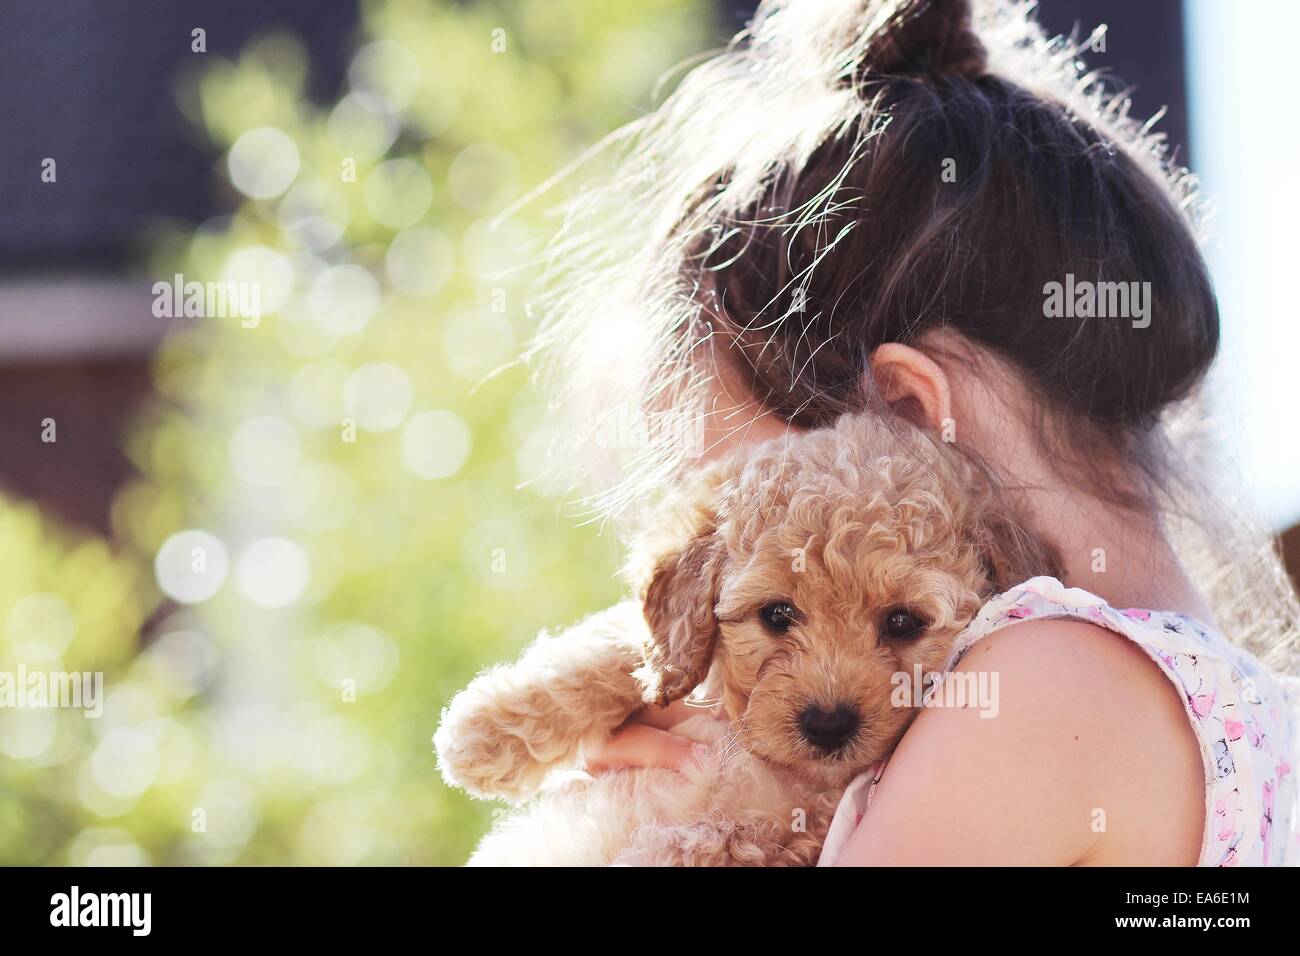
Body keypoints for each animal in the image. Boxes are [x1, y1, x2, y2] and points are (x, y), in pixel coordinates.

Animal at [436, 413, 1055, 868]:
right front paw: (482, 730)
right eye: (776, 615)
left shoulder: (787, 837)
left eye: (902, 623)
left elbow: (707, 838)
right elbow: (628, 643)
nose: (828, 725)